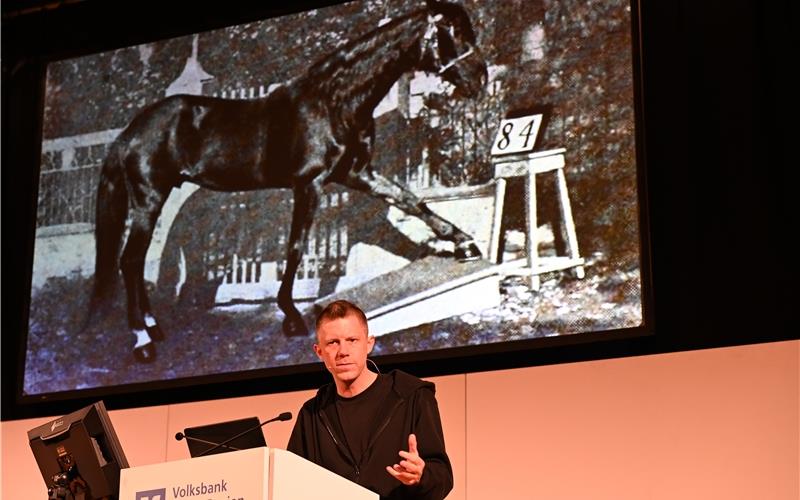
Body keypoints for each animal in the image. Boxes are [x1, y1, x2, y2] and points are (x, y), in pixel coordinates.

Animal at [89, 0, 488, 362]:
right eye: (451, 31)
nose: (480, 79)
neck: (332, 103)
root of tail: (129, 133)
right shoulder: (309, 184)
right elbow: (296, 247)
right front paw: (292, 317)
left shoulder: (358, 174)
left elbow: (411, 201)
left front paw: (465, 243)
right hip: (148, 200)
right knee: (130, 261)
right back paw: (143, 340)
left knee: (138, 261)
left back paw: (153, 327)